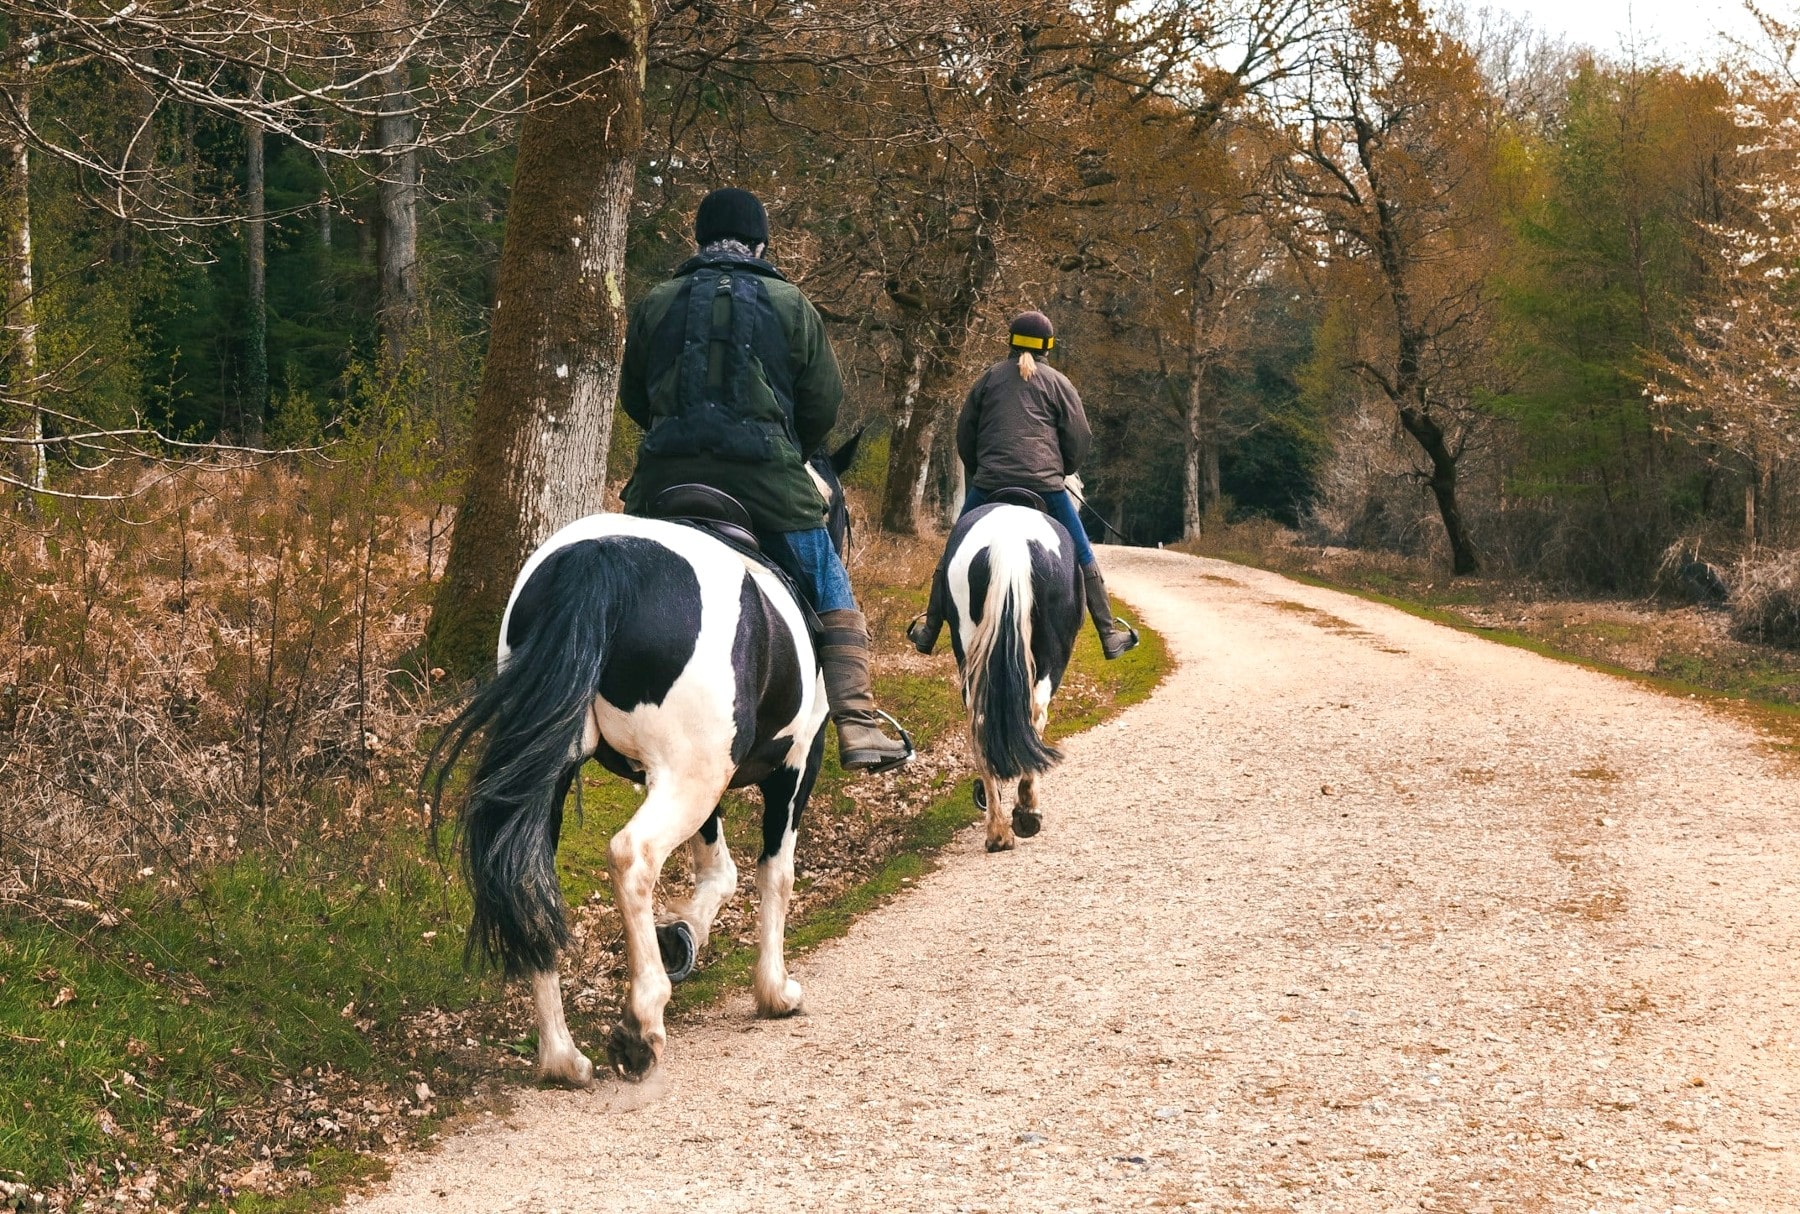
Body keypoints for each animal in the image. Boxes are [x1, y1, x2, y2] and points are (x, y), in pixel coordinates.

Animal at [428, 435, 864, 1080]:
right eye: (843, 515)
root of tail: (602, 559)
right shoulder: (793, 768)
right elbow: (774, 875)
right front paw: (774, 990)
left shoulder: (706, 780)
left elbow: (719, 871)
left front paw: (681, 936)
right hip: (690, 778)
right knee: (632, 857)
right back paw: (641, 1022)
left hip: (567, 776)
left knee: (529, 874)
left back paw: (561, 1056)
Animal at [943, 497, 1080, 846]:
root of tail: (1009, 543)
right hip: (1052, 654)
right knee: (1035, 713)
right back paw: (1026, 812)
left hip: (970, 651)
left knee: (979, 721)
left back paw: (997, 829)